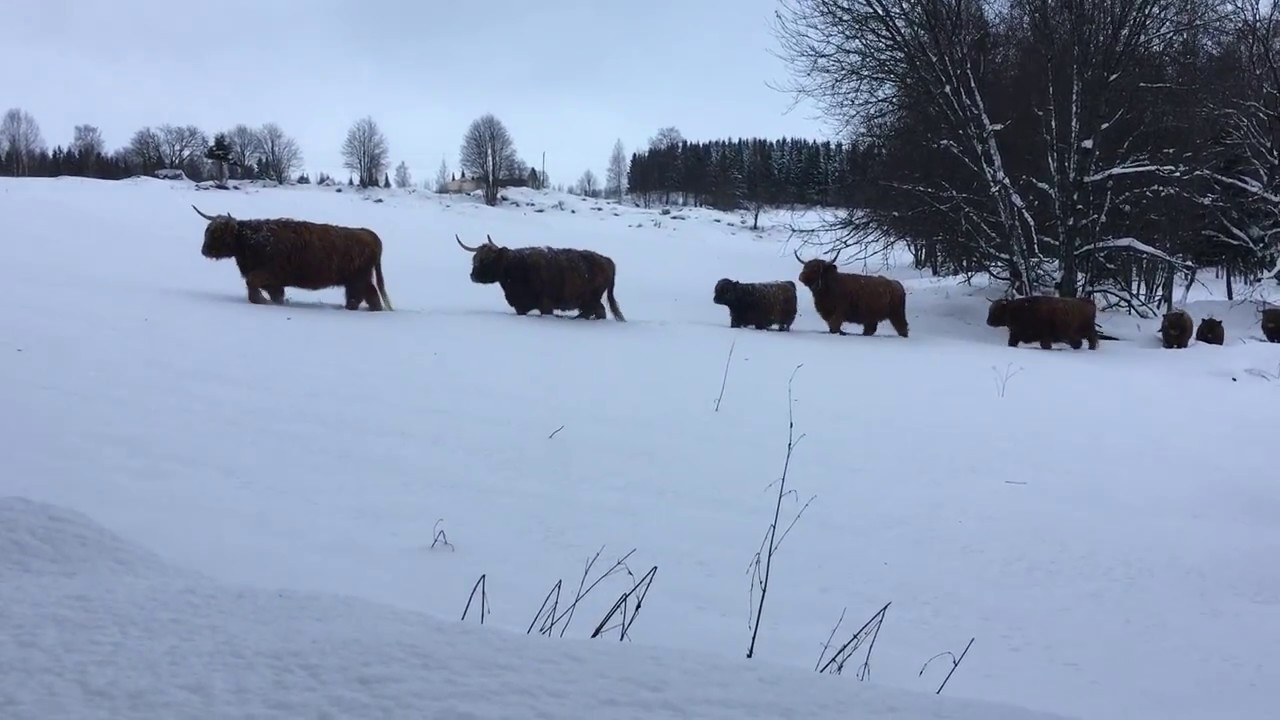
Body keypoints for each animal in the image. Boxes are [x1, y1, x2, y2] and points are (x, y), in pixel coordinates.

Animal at [193, 205, 392, 311]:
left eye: (218, 233)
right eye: (207, 230)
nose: (204, 250)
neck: (249, 240)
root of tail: (370, 234)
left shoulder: (269, 273)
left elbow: (252, 283)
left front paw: (260, 301)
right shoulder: (274, 282)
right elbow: (276, 296)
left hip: (360, 278)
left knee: (370, 295)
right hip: (353, 280)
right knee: (359, 297)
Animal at [455, 234, 625, 321]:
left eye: (486, 260)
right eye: (475, 260)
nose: (473, 276)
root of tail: (608, 260)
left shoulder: (546, 304)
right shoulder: (520, 306)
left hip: (591, 298)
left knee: (598, 311)